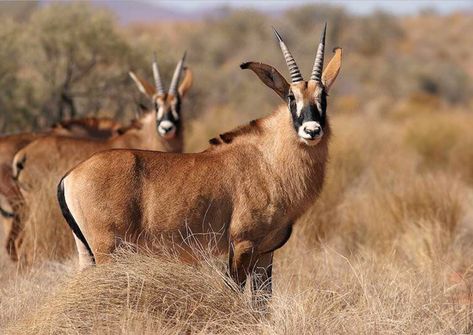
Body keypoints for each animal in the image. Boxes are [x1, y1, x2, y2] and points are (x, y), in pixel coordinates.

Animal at [59, 25, 342, 310]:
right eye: (291, 97)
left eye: (323, 96)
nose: (312, 130)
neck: (268, 160)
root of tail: (70, 176)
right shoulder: (241, 245)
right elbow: (235, 294)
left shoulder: (265, 253)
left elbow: (262, 305)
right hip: (109, 250)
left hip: (88, 253)